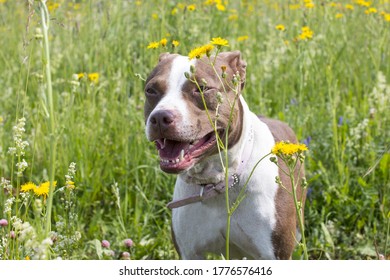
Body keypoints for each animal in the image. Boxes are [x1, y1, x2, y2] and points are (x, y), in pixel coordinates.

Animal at [143, 50, 304, 260]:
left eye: (202, 88)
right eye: (151, 90)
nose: (160, 117)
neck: (218, 182)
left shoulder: (275, 254)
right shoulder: (190, 253)